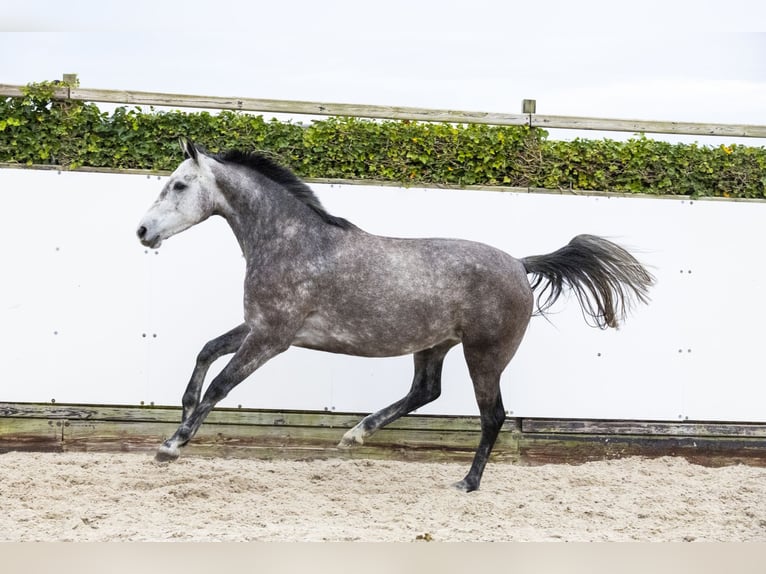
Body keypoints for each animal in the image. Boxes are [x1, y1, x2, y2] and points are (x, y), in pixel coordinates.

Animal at [136, 137, 656, 492]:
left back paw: (467, 482)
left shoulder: (272, 337)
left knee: (492, 415)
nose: (142, 231)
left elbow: (222, 385)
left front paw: (171, 446)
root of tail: (519, 264)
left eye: (178, 184)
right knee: (425, 390)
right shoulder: (260, 326)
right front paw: (181, 411)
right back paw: (355, 435)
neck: (294, 242)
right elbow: (206, 352)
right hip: (435, 346)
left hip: (484, 355)